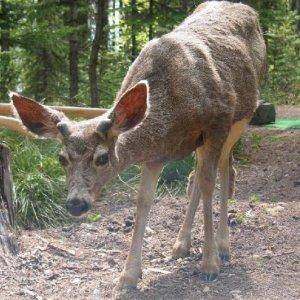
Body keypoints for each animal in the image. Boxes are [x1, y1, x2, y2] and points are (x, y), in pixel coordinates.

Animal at [8, 0, 264, 296]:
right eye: (62, 158)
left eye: (102, 158)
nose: (75, 203)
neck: (172, 110)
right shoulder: (155, 155)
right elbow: (144, 201)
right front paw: (129, 275)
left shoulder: (218, 123)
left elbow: (210, 184)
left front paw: (209, 263)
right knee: (197, 176)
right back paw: (181, 244)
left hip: (242, 118)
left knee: (223, 169)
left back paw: (222, 246)